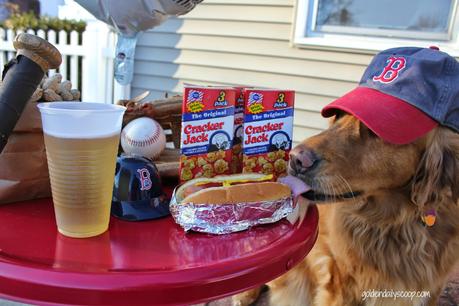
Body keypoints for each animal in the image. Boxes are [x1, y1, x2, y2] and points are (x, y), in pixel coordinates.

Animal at [234, 112, 459, 306]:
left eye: (374, 131)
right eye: (338, 116)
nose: (295, 158)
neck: (396, 225)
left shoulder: (432, 288)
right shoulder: (342, 283)